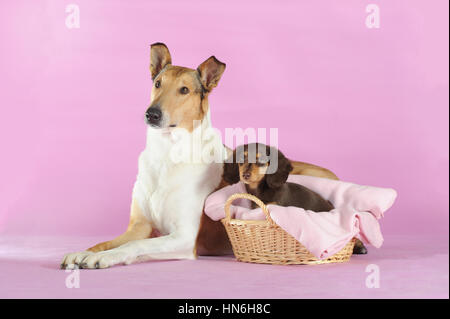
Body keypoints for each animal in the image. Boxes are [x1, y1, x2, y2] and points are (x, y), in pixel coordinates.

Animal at [62, 43, 352, 270]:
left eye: (184, 90)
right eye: (157, 84)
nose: (151, 114)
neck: (167, 153)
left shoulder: (183, 237)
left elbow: (135, 246)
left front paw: (102, 258)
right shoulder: (139, 226)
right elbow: (108, 242)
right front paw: (83, 253)